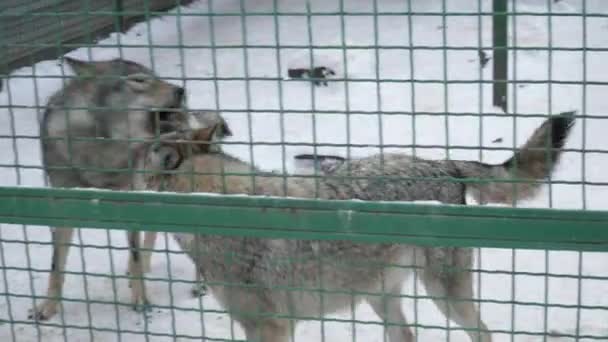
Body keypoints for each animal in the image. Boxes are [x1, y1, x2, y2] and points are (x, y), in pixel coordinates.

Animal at [32, 56, 190, 320]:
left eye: (155, 77)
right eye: (139, 80)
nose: (181, 90)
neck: (101, 151)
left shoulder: (132, 201)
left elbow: (135, 253)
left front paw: (141, 299)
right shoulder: (63, 211)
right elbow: (56, 264)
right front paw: (47, 307)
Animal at [137, 111, 576, 340]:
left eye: (142, 160)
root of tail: (443, 164)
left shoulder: (269, 327)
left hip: (443, 294)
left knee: (481, 332)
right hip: (380, 296)